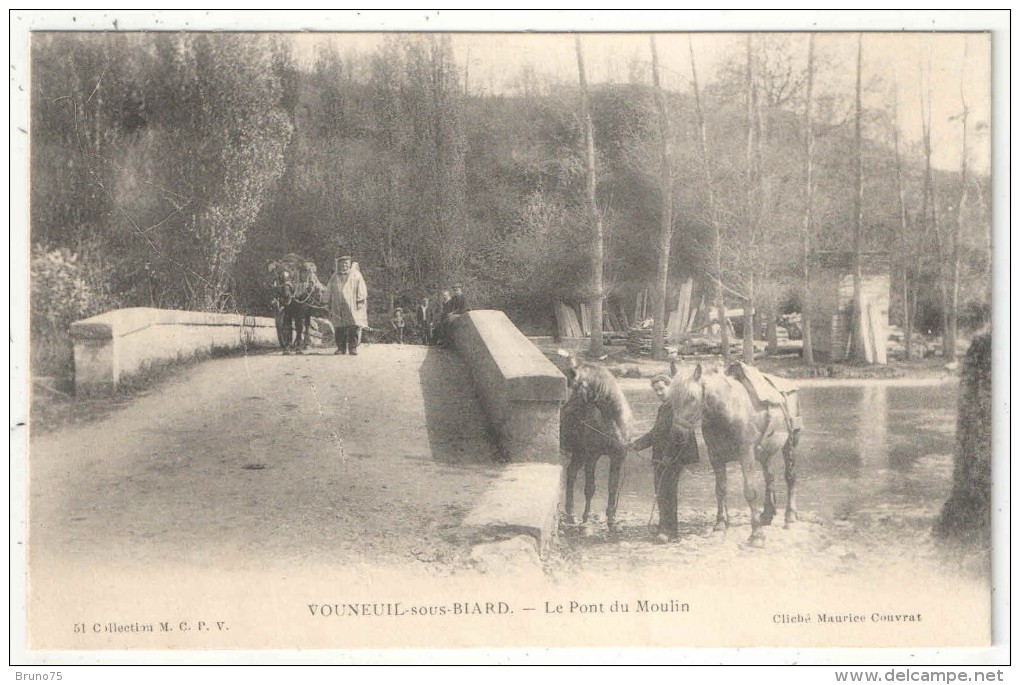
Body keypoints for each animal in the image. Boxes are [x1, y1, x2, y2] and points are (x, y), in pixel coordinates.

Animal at [558, 350, 628, 534]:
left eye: (575, 389)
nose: (565, 410)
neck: (612, 422)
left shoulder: (617, 458)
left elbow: (612, 488)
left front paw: (611, 522)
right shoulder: (592, 457)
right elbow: (590, 488)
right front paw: (586, 522)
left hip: (578, 454)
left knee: (571, 473)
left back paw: (570, 515)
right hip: (582, 455)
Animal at [669, 358, 803, 546]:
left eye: (692, 398)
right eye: (670, 399)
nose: (677, 435)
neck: (728, 410)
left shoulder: (746, 454)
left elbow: (750, 492)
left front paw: (757, 535)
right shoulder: (715, 456)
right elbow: (720, 489)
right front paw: (720, 523)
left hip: (789, 445)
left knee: (790, 477)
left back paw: (790, 517)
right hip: (765, 453)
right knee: (769, 478)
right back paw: (767, 515)